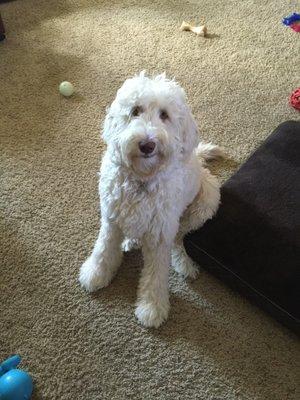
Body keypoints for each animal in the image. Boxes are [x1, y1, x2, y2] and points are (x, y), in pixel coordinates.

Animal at [79, 72, 223, 328]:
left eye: (164, 114)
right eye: (135, 110)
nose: (147, 144)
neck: (141, 179)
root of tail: (198, 159)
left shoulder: (160, 235)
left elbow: (155, 276)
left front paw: (152, 308)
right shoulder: (111, 220)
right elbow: (104, 250)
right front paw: (96, 274)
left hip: (205, 202)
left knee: (179, 239)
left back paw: (183, 262)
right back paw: (130, 241)